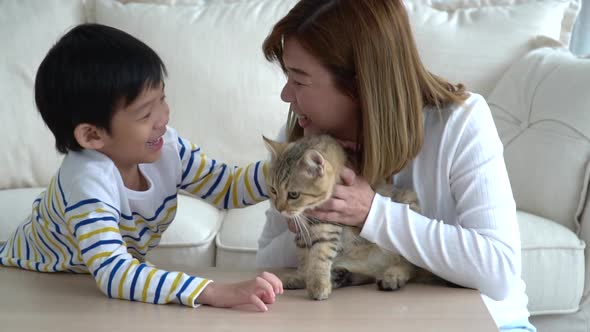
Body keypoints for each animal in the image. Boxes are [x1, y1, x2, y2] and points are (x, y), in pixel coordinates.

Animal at [264, 133, 440, 300]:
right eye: (273, 190)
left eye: (293, 194)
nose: (279, 209)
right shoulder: (302, 230)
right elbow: (303, 257)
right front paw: (302, 276)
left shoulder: (328, 225)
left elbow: (319, 255)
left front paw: (318, 285)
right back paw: (342, 276)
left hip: (407, 207)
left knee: (410, 265)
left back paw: (392, 276)